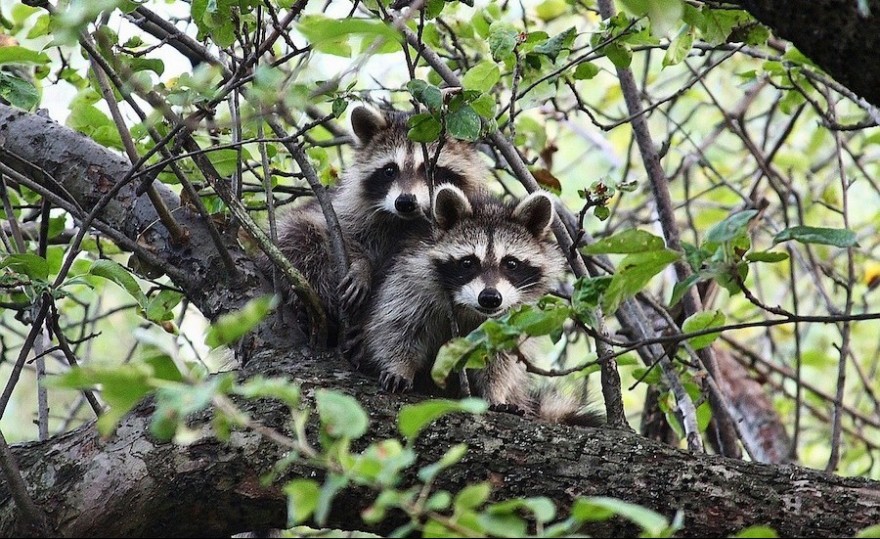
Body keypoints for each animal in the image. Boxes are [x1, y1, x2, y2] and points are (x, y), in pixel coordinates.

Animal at [264, 105, 492, 342]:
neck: (405, 221)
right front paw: (361, 265)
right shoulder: (343, 208)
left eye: (431, 169)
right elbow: (334, 230)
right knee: (300, 236)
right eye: (390, 170)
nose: (405, 202)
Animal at [360, 185, 572, 414]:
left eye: (511, 264)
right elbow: (397, 326)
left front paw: (495, 391)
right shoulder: (410, 281)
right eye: (468, 262)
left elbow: (501, 359)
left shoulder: (515, 317)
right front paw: (399, 366)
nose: (490, 298)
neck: (469, 308)